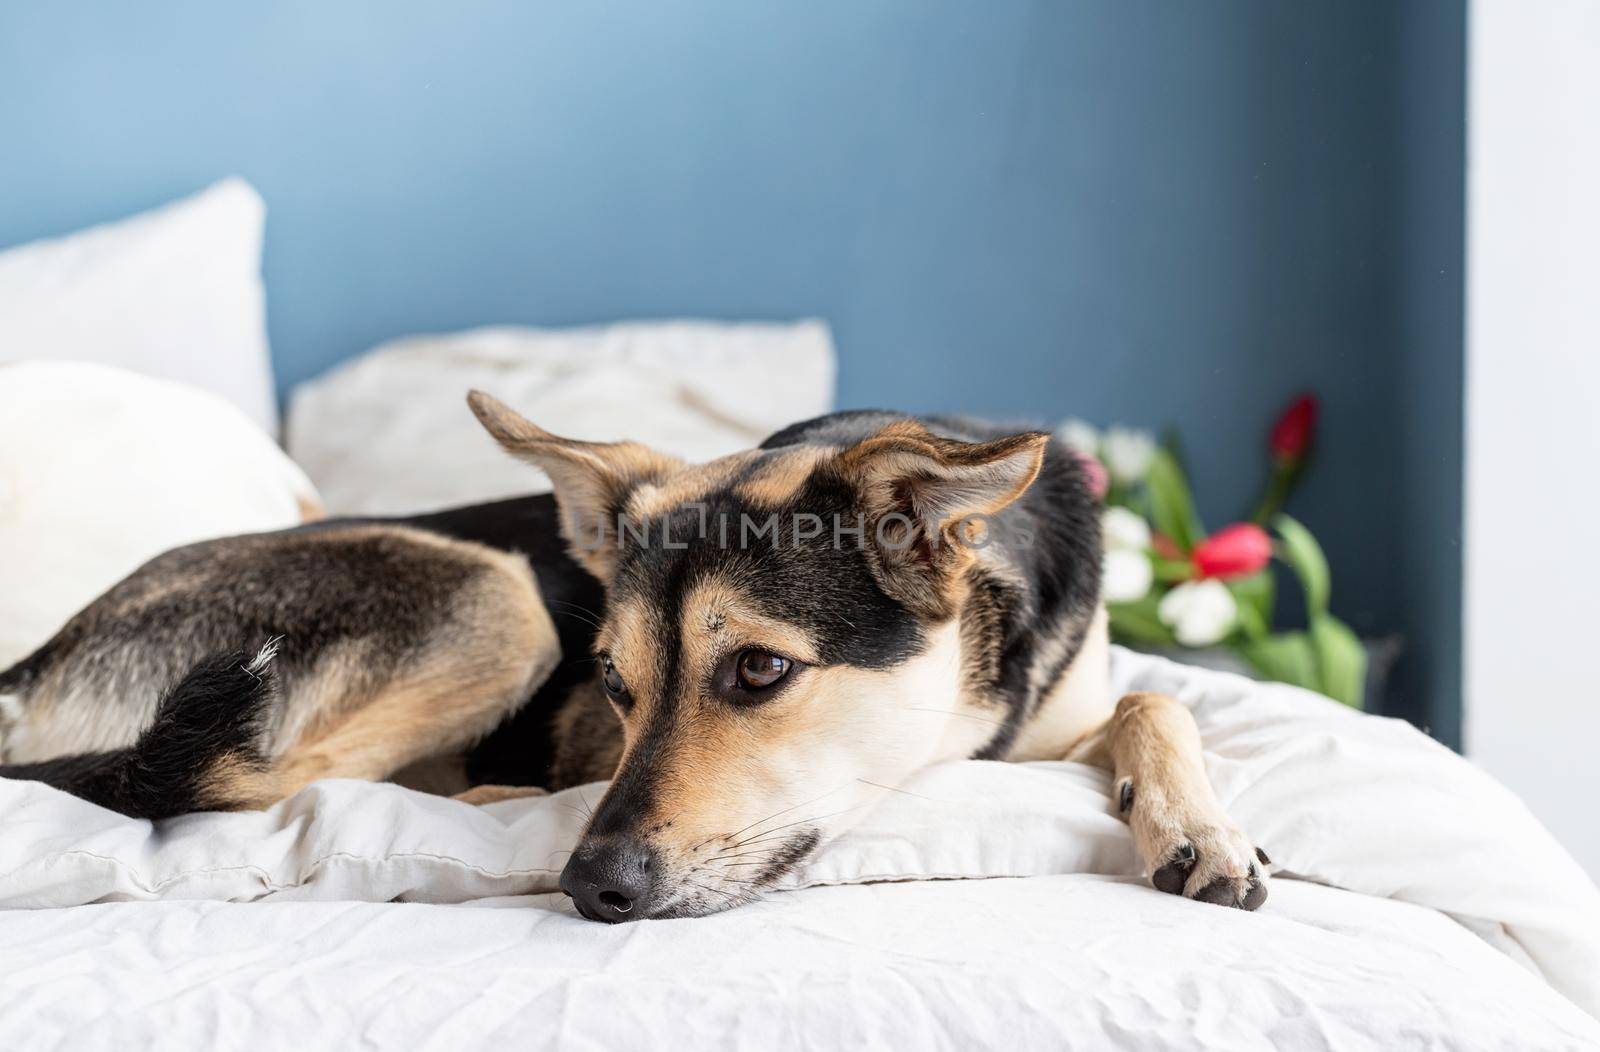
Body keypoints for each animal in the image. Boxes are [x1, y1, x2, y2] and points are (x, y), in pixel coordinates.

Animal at [6, 393, 1267, 920]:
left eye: (758, 670)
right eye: (613, 682)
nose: (591, 889)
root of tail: (34, 662)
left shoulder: (1063, 706)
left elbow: (1155, 700)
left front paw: (1197, 823)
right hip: (499, 598)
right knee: (260, 776)